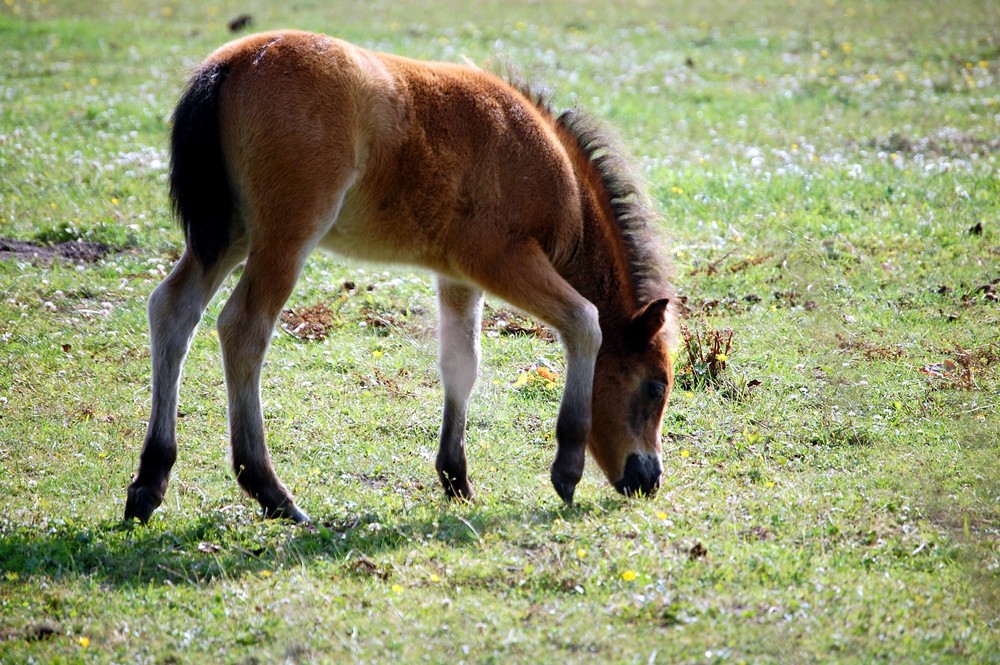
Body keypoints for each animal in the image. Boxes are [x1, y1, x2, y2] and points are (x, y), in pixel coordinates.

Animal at [123, 31, 672, 520]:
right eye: (655, 388)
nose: (649, 479)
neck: (554, 173)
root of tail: (230, 63)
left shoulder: (459, 275)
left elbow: (461, 363)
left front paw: (456, 479)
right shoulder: (501, 258)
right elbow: (585, 321)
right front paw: (567, 467)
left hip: (230, 234)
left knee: (172, 311)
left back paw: (150, 481)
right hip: (285, 235)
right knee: (243, 329)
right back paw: (270, 492)